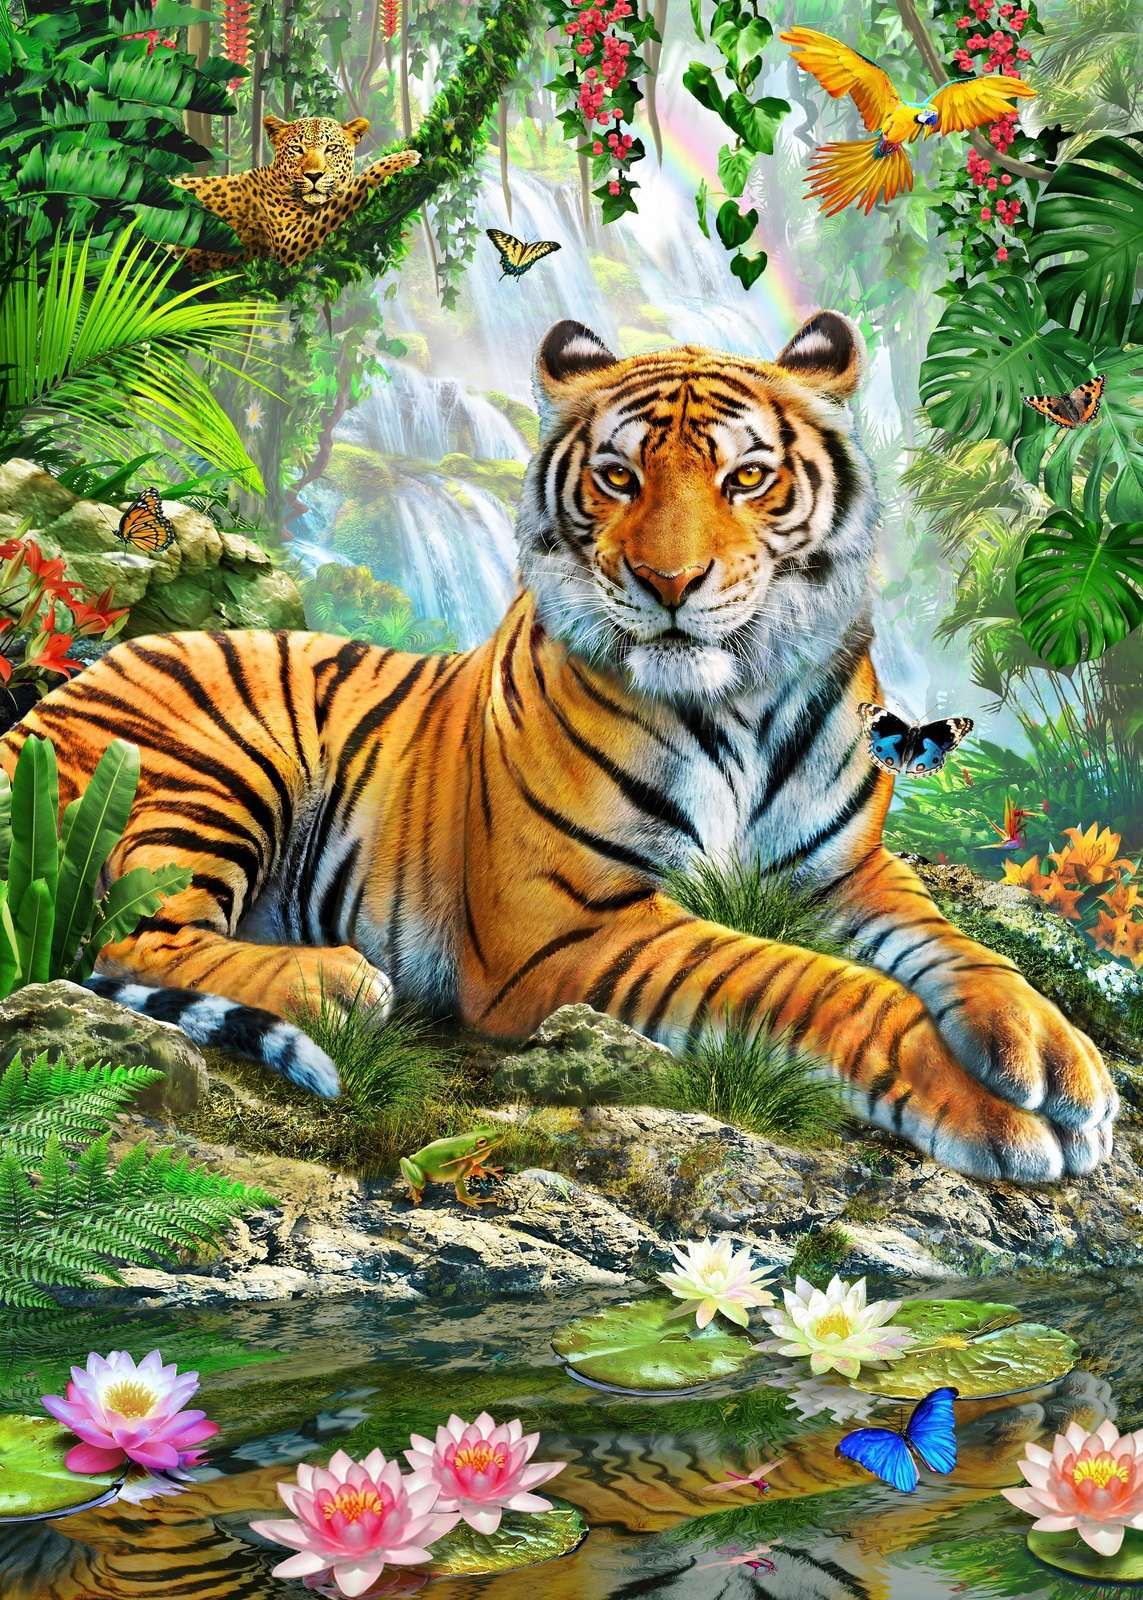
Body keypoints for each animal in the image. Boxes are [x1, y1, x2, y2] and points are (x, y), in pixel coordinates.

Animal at [0, 312, 1116, 1182]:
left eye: (748, 478)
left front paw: (1051, 1053)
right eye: (617, 478)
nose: (670, 582)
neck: (744, 702)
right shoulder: (569, 925)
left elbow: (956, 948)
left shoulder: (846, 874)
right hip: (211, 767)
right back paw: (337, 983)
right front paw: (989, 1112)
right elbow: (808, 982)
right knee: (130, 939)